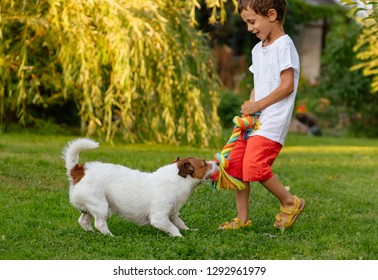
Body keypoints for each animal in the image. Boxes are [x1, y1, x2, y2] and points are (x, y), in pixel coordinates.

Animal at [62, 137, 219, 236]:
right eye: (204, 163)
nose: (217, 162)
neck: (177, 180)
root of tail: (78, 170)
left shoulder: (172, 214)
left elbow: (180, 224)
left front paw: (190, 231)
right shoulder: (159, 217)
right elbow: (173, 228)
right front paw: (180, 237)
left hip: (89, 208)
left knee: (83, 221)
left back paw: (91, 233)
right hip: (101, 205)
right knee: (100, 223)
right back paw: (110, 236)